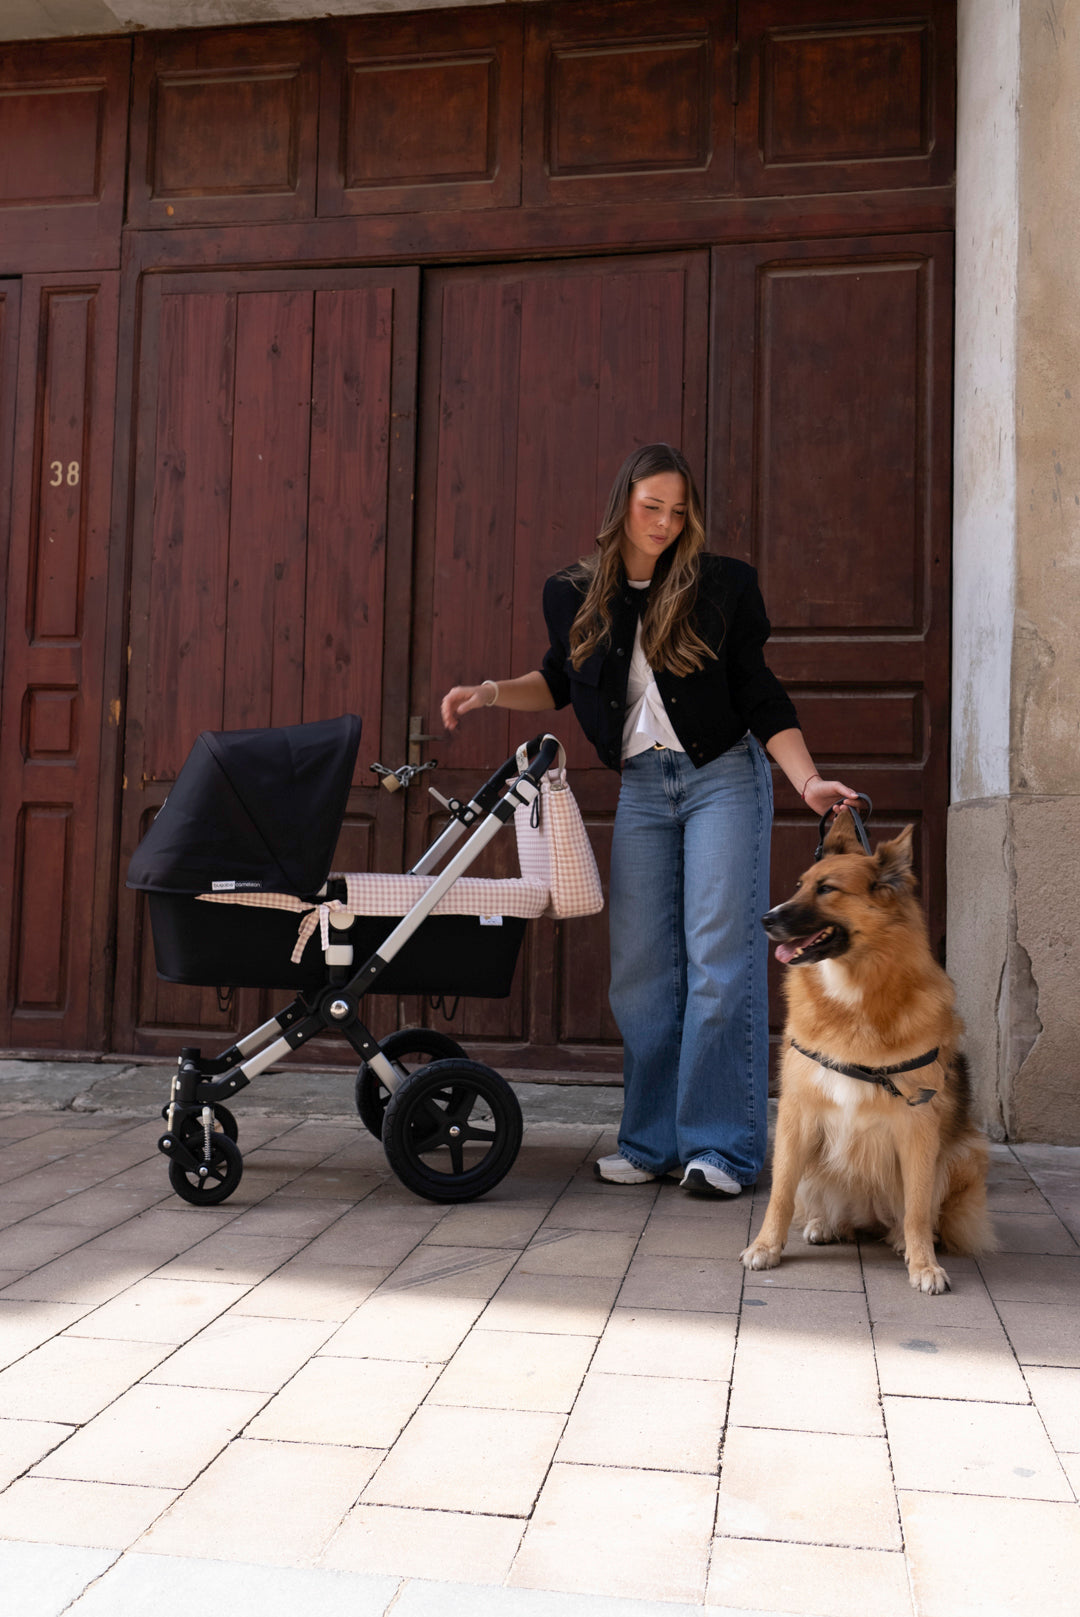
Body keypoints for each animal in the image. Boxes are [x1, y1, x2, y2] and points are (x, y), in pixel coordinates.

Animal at [746, 814, 989, 1293]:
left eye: (827, 889)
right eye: (800, 885)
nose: (765, 918)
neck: (853, 994)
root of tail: (869, 1217)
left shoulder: (918, 1127)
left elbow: (917, 1208)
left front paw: (924, 1264)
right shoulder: (796, 1116)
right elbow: (780, 1195)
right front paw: (766, 1246)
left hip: (961, 1156)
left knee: (915, 1215)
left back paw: (900, 1240)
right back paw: (824, 1223)